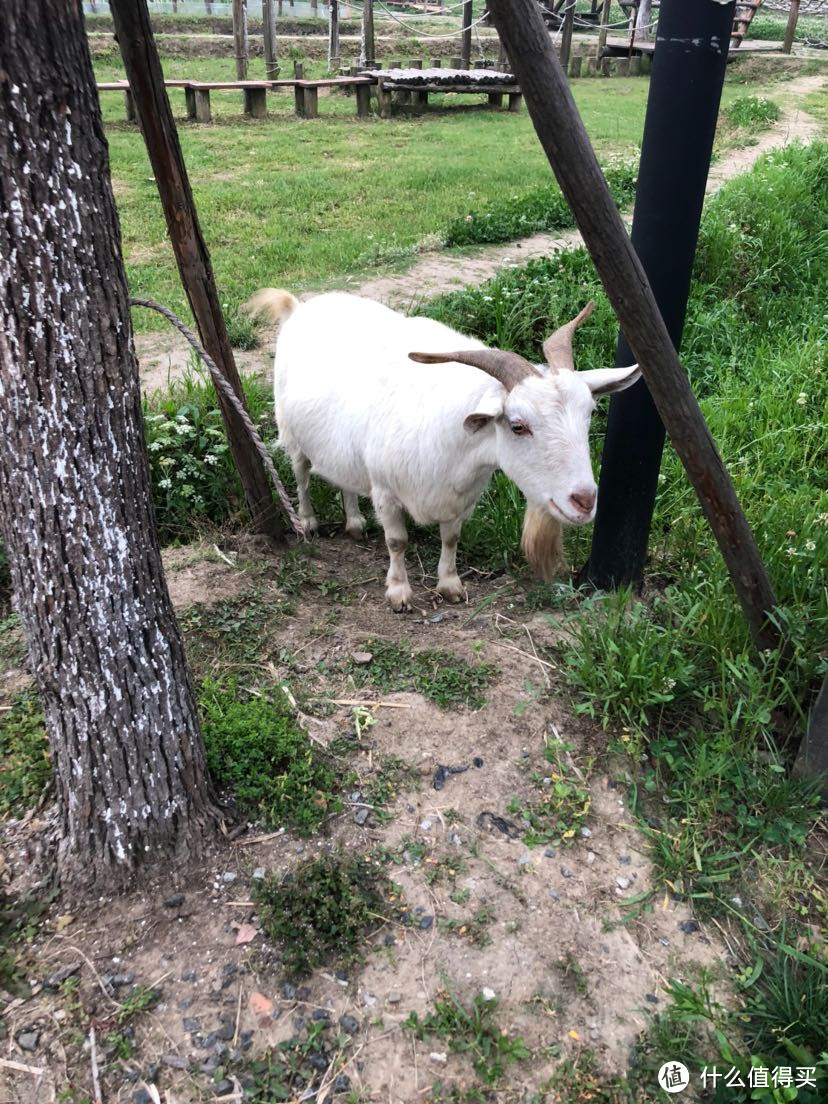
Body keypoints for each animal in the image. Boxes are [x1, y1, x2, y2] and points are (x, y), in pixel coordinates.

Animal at [246, 289, 640, 609]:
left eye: (590, 413)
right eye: (518, 425)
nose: (585, 501)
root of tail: (299, 307)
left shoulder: (461, 497)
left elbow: (451, 538)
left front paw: (450, 586)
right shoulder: (386, 491)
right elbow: (397, 541)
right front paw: (399, 593)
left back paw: (355, 522)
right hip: (291, 431)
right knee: (301, 473)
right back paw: (308, 521)